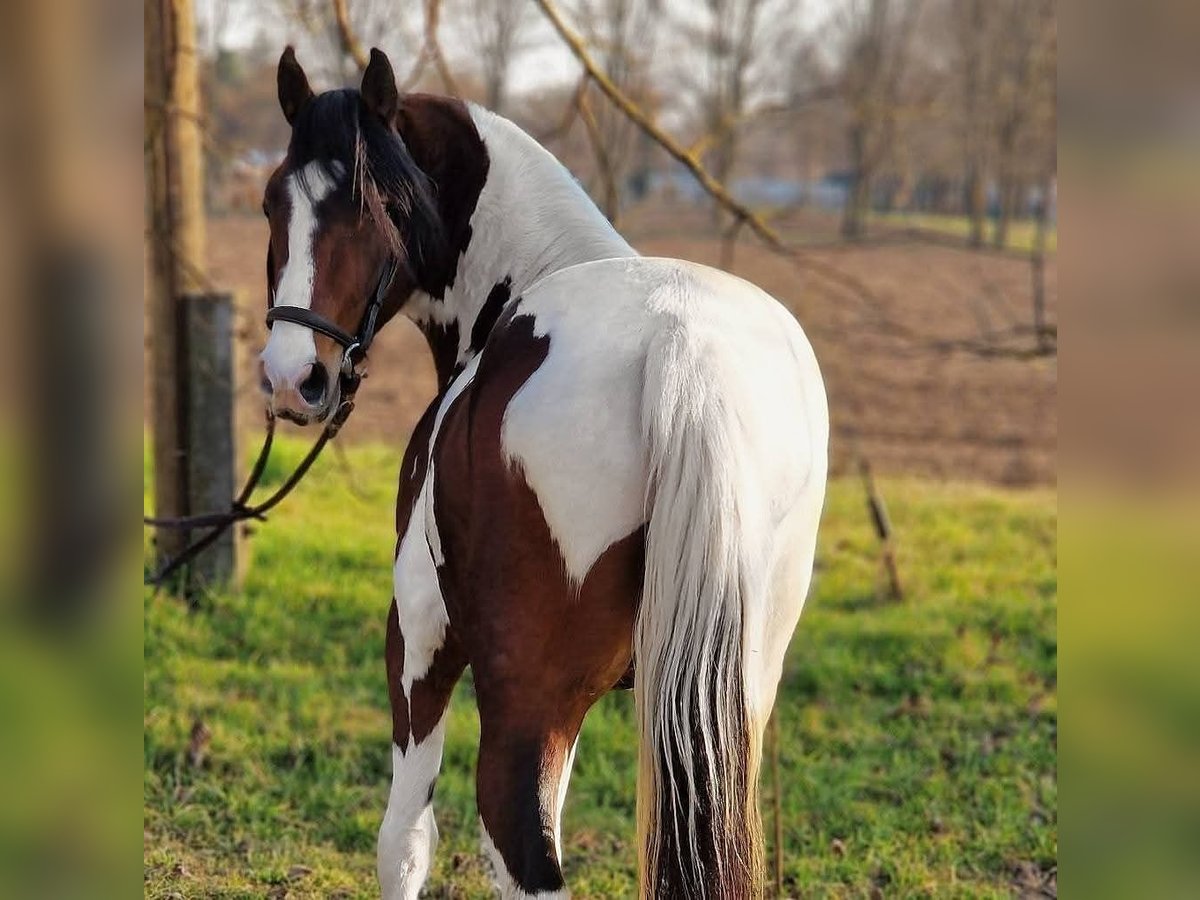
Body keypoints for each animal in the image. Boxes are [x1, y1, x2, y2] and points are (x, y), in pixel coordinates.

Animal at [258, 46, 828, 899]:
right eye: (272, 205)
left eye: (379, 208)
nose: (295, 378)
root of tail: (682, 347)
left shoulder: (419, 635)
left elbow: (406, 840)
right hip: (728, 703)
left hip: (523, 702)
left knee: (517, 843)